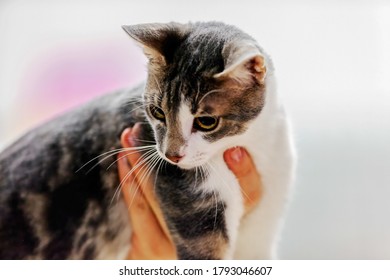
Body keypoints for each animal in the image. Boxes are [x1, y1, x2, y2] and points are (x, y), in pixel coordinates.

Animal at [0, 20, 294, 260]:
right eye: (157, 112)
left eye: (206, 121)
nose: (171, 155)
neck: (253, 142)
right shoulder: (193, 203)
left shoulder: (263, 222)